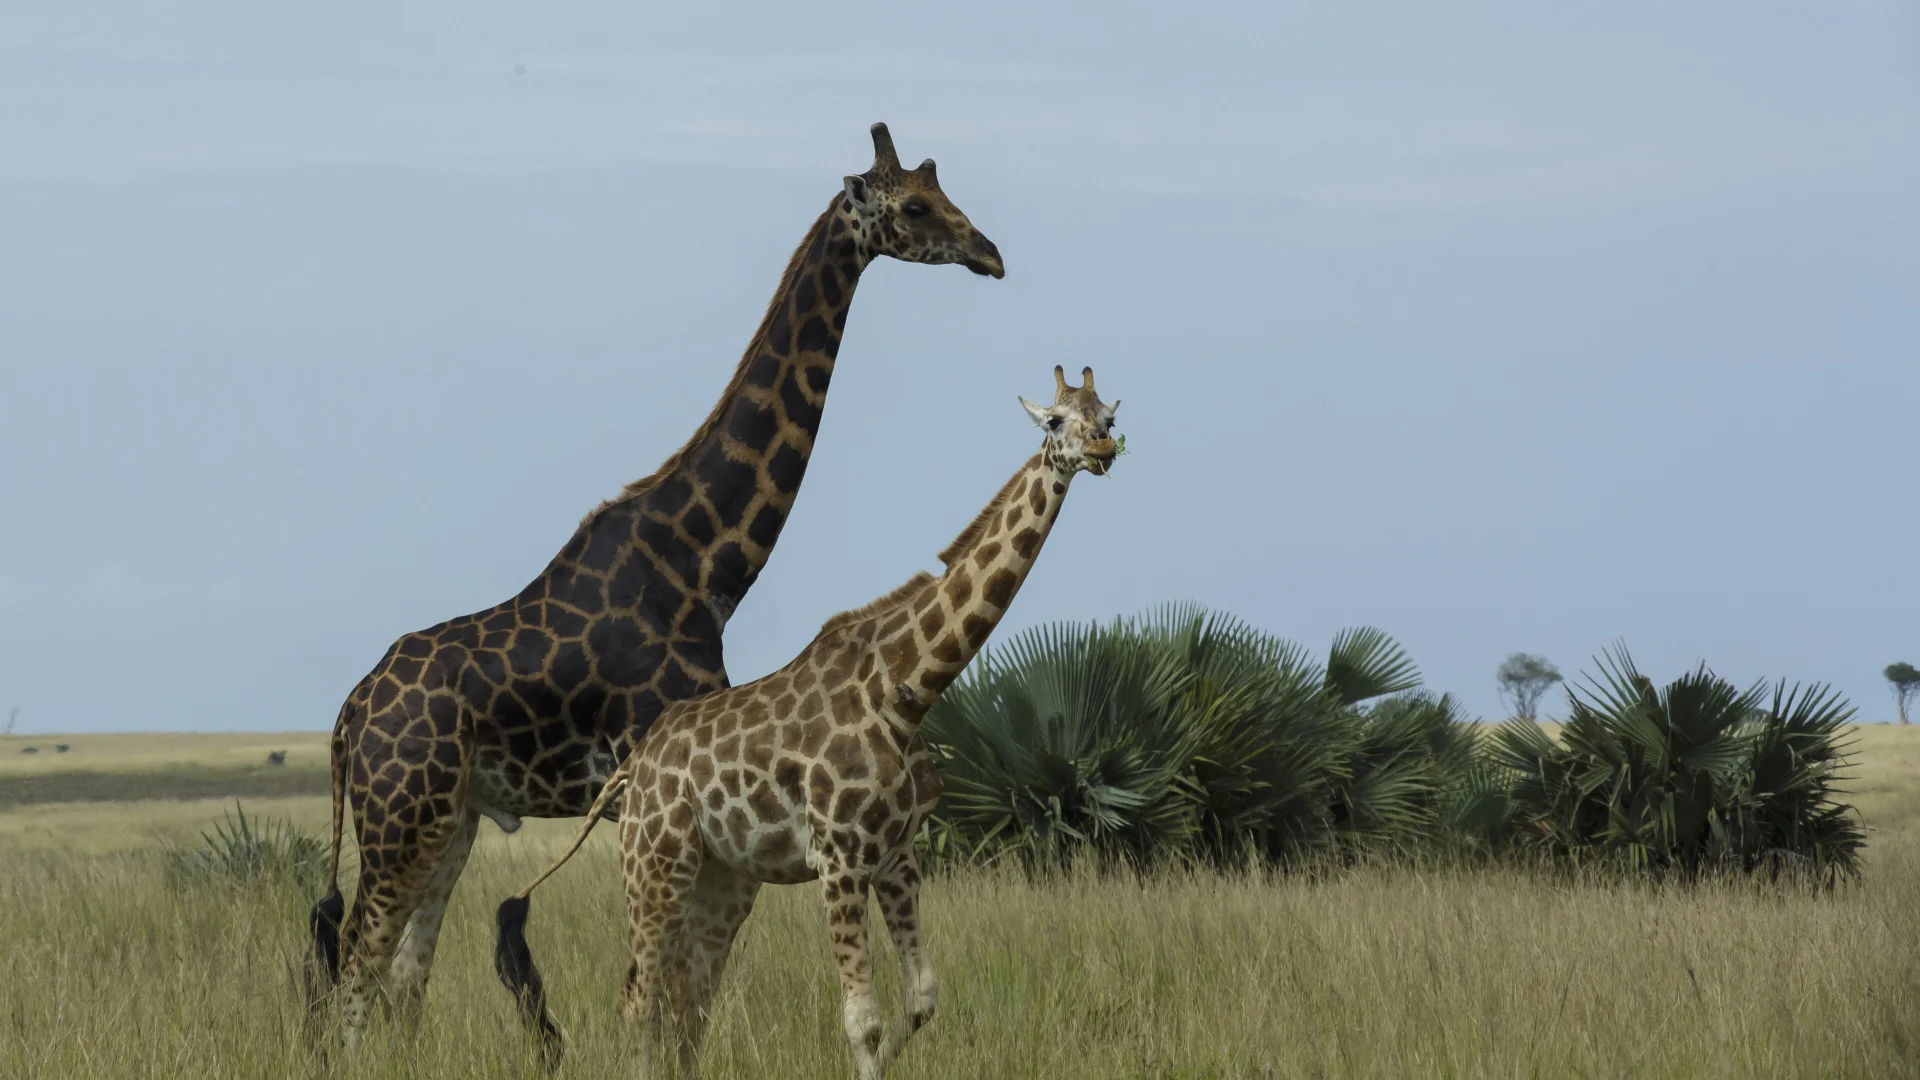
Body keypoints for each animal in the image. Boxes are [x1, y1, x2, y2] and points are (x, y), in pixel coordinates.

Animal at [304, 123, 1005, 1045]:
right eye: (917, 206)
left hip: (449, 818)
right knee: (355, 973)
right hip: (400, 816)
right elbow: (669, 992)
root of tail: (350, 716)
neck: (704, 564)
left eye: (944, 191)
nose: (990, 253)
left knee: (400, 979)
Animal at [494, 365, 1120, 1078]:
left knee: (684, 1004)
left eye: (1110, 415)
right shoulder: (840, 857)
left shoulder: (896, 855)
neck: (906, 692)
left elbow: (921, 999)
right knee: (640, 1001)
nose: (1102, 448)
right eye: (1056, 421)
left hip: (720, 877)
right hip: (654, 863)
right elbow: (862, 1022)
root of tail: (630, 771)